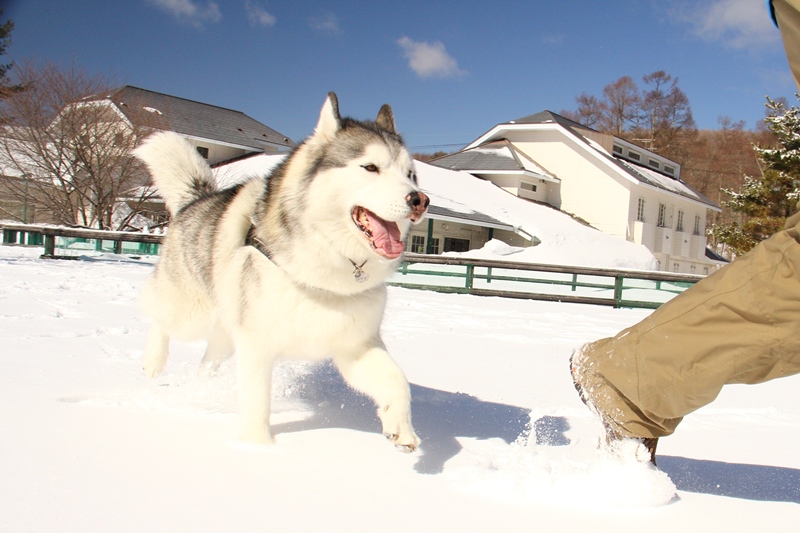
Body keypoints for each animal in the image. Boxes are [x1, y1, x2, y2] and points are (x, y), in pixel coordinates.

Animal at [134, 92, 428, 448]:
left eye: (410, 174)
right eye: (371, 167)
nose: (419, 200)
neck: (325, 270)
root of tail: (199, 200)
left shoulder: (354, 346)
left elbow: (397, 380)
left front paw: (401, 427)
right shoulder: (257, 345)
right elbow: (257, 400)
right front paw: (260, 448)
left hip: (226, 331)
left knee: (208, 360)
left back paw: (203, 386)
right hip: (190, 313)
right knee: (159, 316)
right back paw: (152, 363)